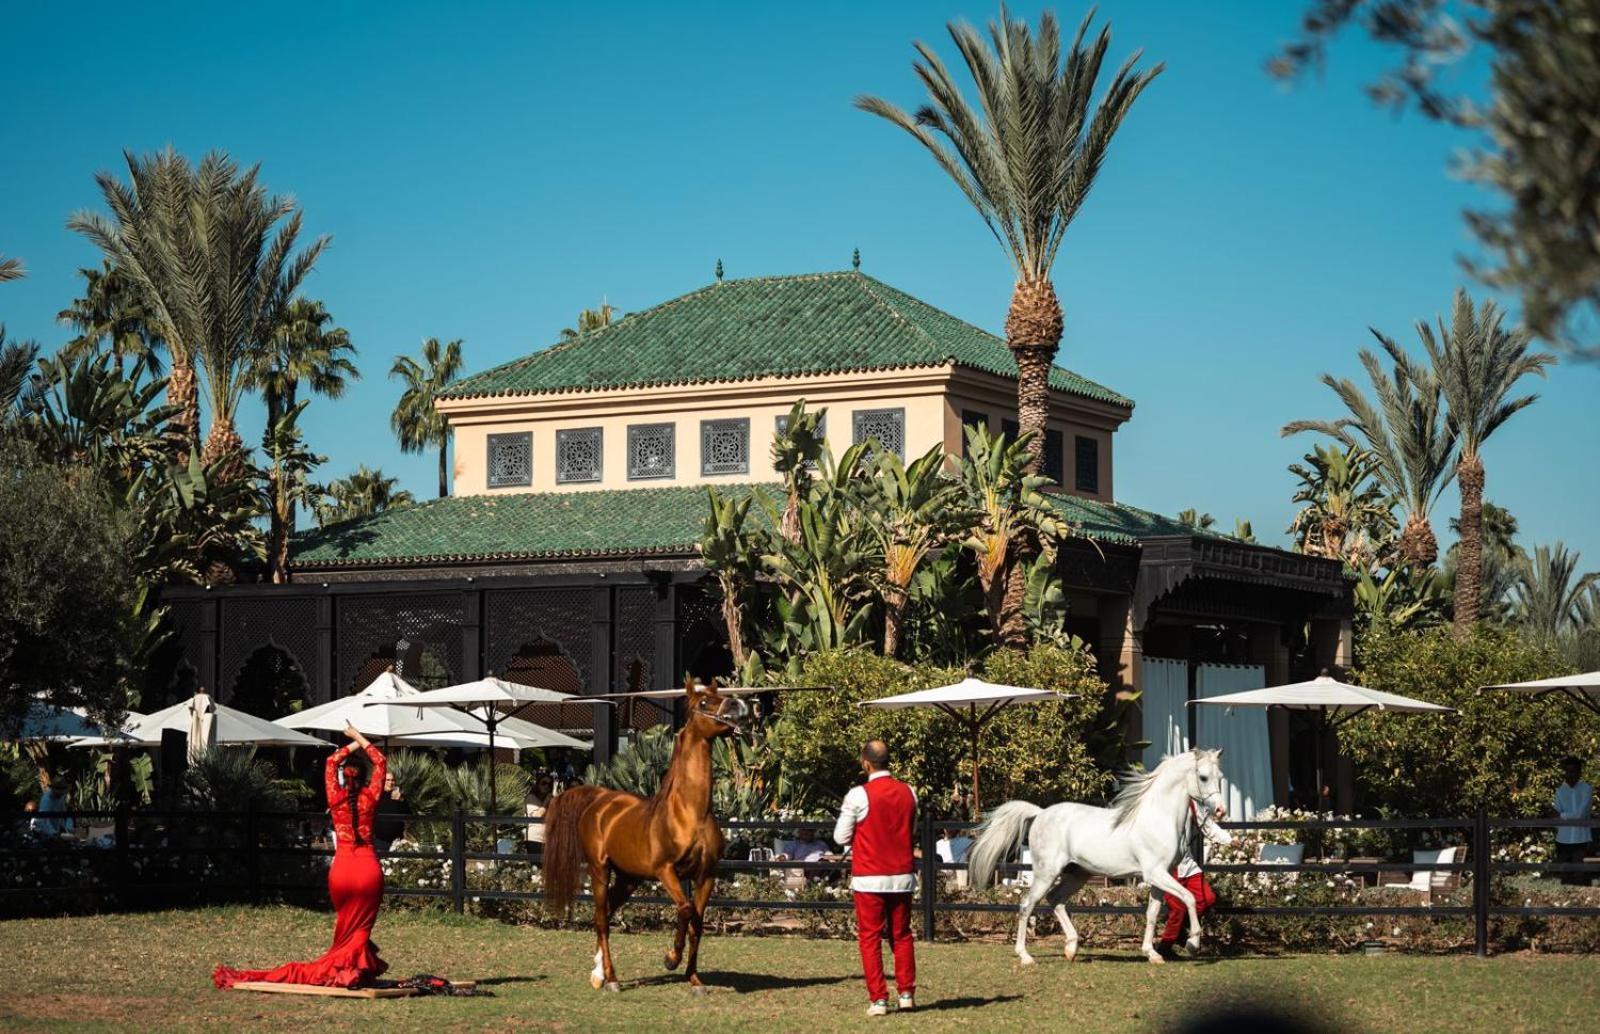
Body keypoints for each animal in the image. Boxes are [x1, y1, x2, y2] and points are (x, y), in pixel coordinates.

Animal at [540, 681, 745, 998]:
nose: (737, 705)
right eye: (703, 702)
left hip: (629, 878)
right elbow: (685, 910)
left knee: (607, 913)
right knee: (601, 919)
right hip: (601, 871)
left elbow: (697, 922)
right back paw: (611, 979)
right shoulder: (666, 871)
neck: (691, 813)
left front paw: (695, 980)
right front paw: (670, 959)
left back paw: (598, 975)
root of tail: (599, 799)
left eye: (719, 695)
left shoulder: (707, 874)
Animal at [960, 749, 1235, 966]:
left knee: (1055, 899)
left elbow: (1152, 913)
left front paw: (1153, 954)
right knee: (1027, 905)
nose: (1221, 811)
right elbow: (1189, 898)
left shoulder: (1160, 877)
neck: (1157, 818)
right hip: (1046, 873)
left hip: (1077, 874)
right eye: (1203, 777)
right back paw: (1026, 956)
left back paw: (1071, 948)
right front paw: (1192, 944)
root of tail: (1040, 814)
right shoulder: (1155, 873)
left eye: (1221, 777)